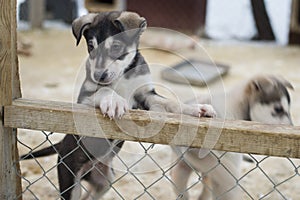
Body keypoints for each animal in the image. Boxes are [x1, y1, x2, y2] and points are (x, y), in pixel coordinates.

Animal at [20, 11, 216, 200]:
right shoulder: (86, 99)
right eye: (91, 46)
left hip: (104, 180)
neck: (124, 75)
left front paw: (197, 109)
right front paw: (114, 101)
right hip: (70, 179)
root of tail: (61, 144)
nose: (98, 76)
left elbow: (170, 102)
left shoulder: (146, 96)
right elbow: (104, 91)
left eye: (115, 47)